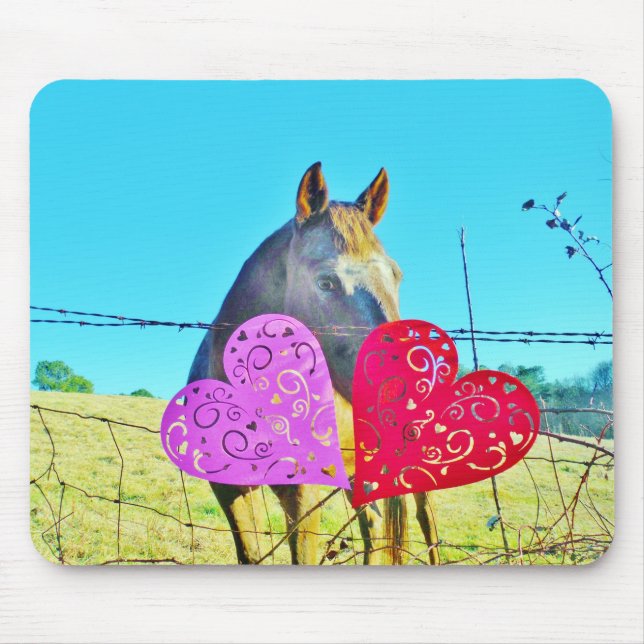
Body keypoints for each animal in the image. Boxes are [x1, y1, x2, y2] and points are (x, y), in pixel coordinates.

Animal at [188, 162, 439, 565]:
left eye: (396, 276)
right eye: (326, 282)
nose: (403, 392)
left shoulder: (302, 495)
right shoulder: (229, 490)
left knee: (424, 518)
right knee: (372, 523)